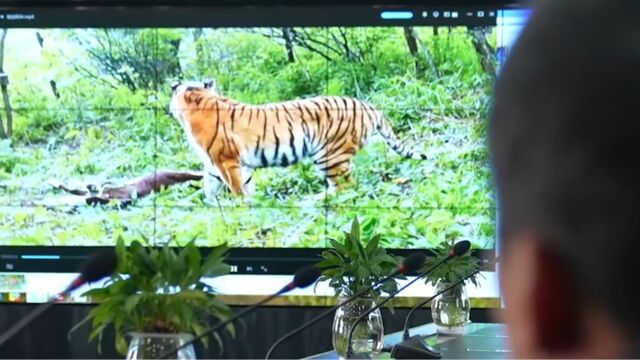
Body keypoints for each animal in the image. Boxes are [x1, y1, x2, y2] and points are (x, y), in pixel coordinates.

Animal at [170, 79, 428, 200]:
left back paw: (312, 200)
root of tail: (368, 105)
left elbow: (236, 187)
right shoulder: (218, 163)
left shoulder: (225, 158)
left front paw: (241, 207)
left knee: (345, 187)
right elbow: (214, 186)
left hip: (329, 154)